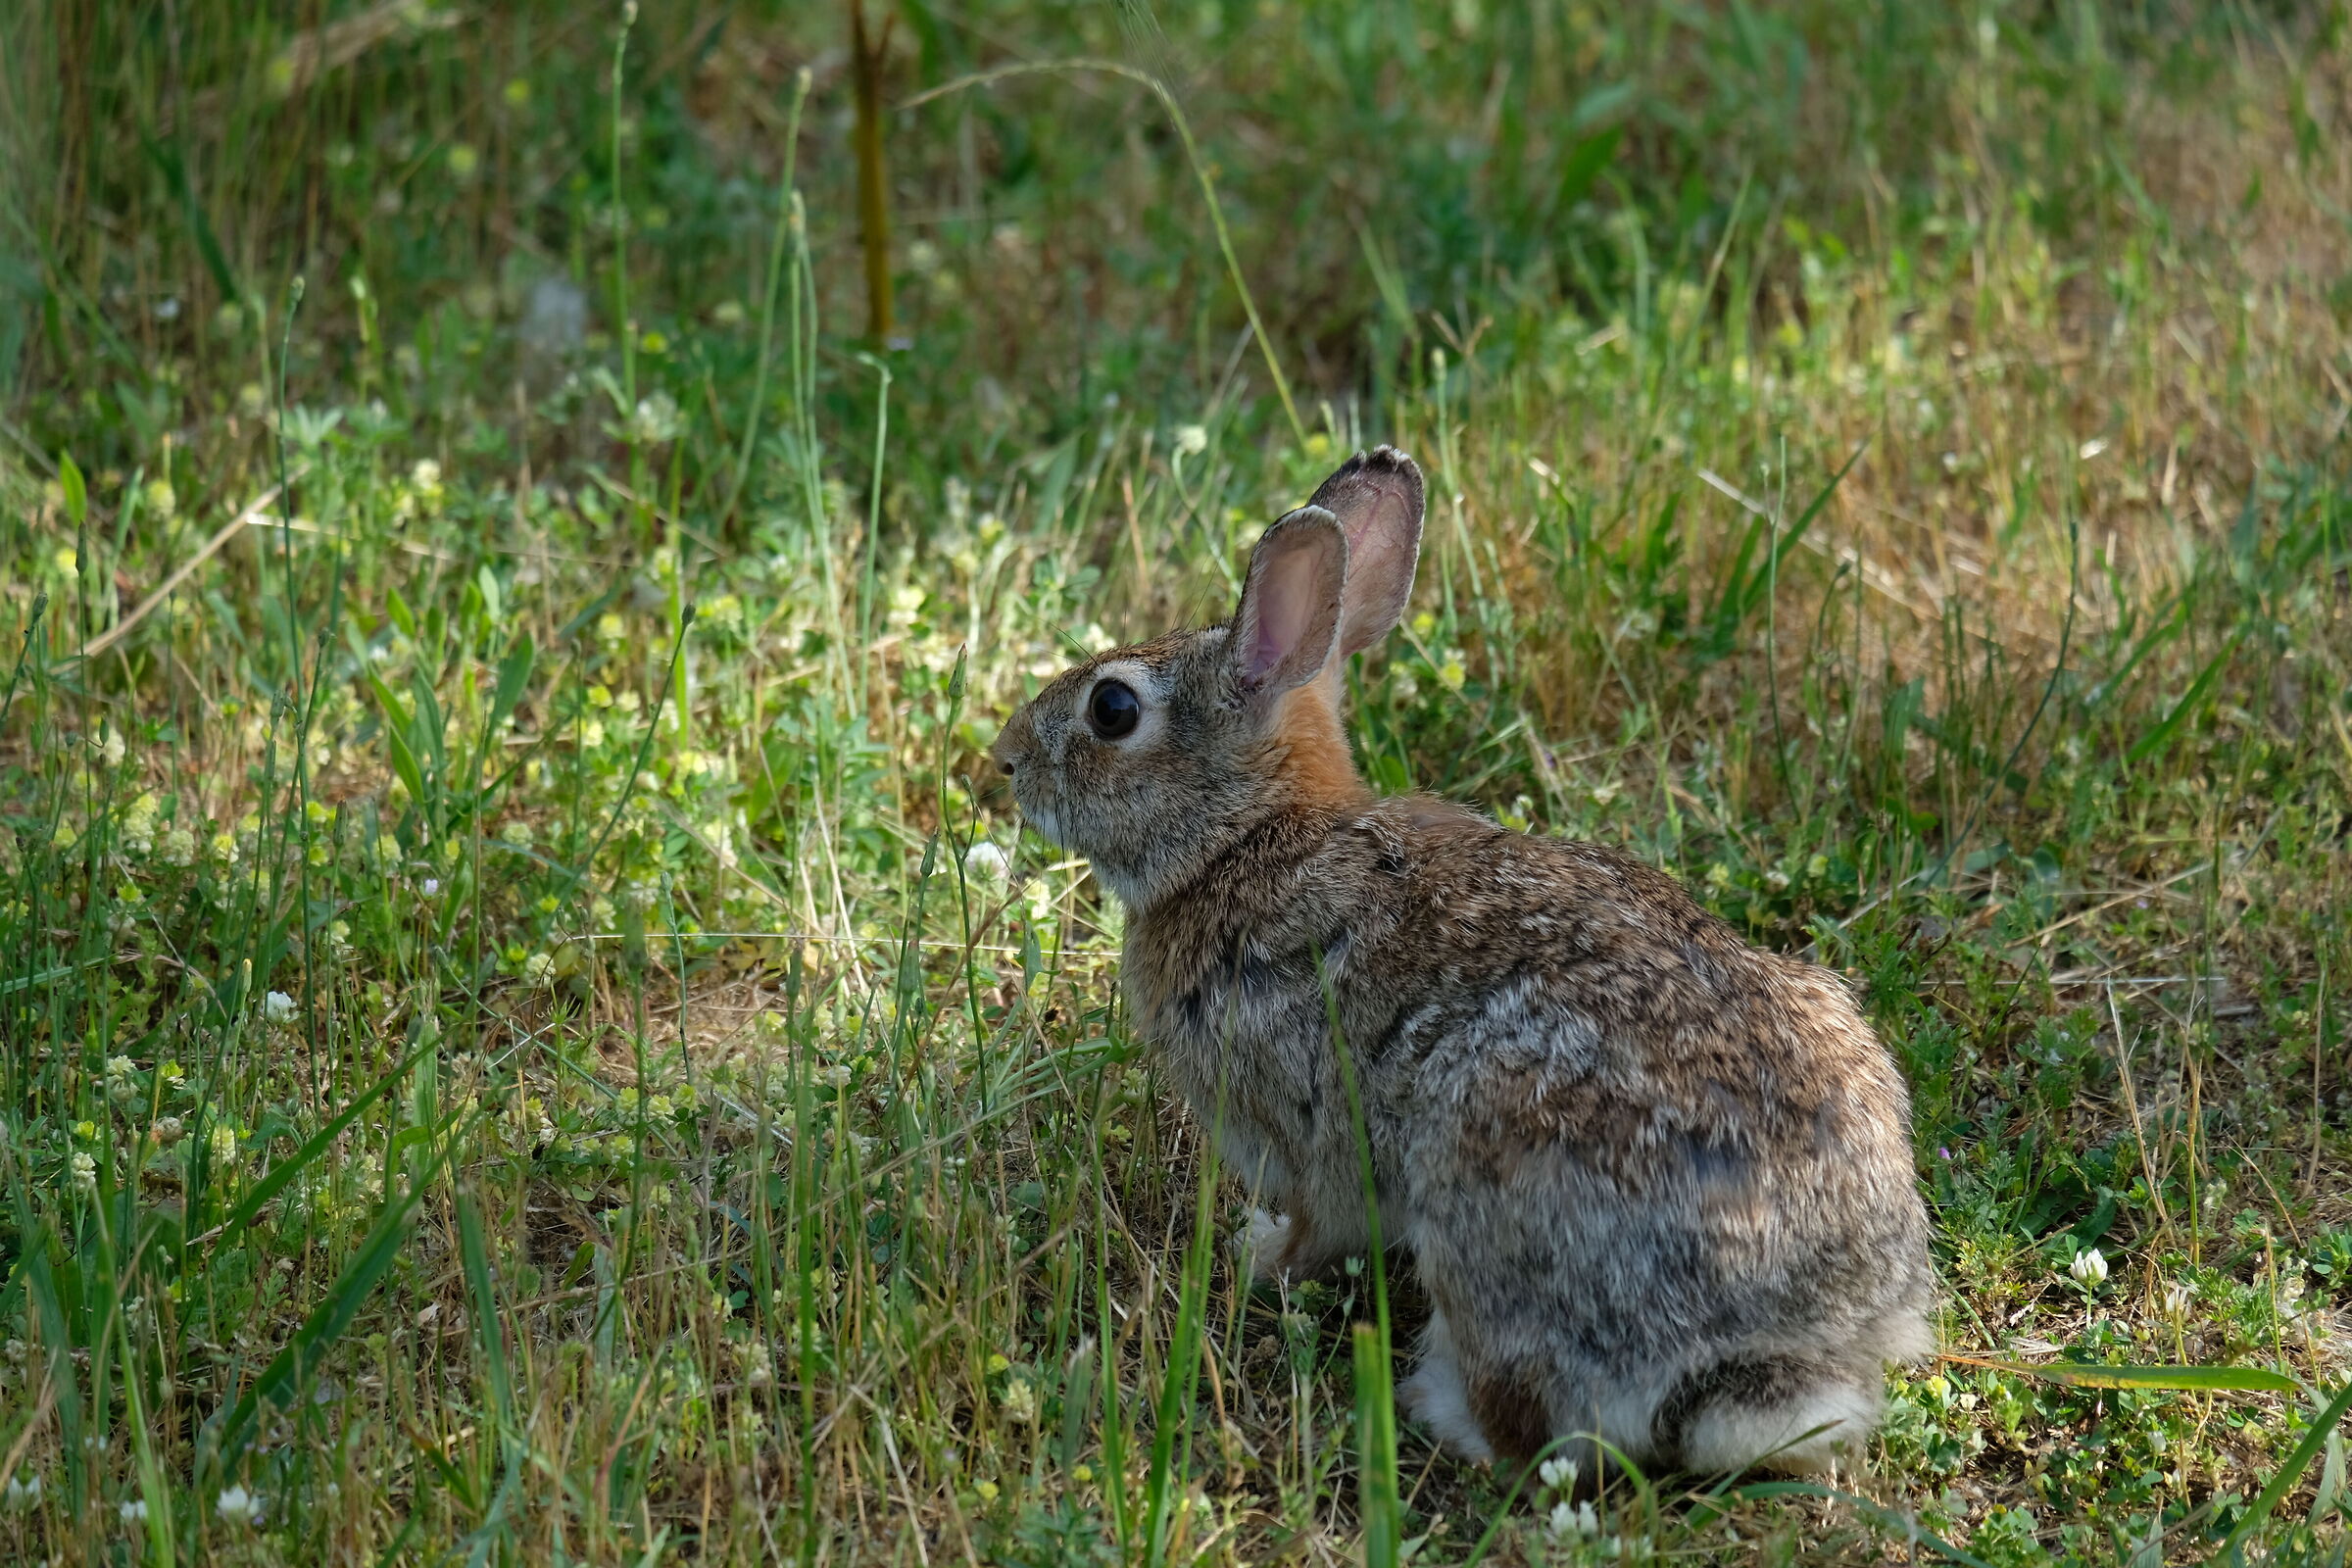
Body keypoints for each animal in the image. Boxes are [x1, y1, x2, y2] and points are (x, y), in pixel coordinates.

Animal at [989, 447, 1934, 1478]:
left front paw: (1258, 1258)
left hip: (1484, 1175)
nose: (1004, 759)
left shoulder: (1308, 1130)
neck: (1247, 839)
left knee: (1534, 1430)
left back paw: (1430, 1407)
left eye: (1112, 709)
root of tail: (1777, 1343)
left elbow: (1323, 1224)